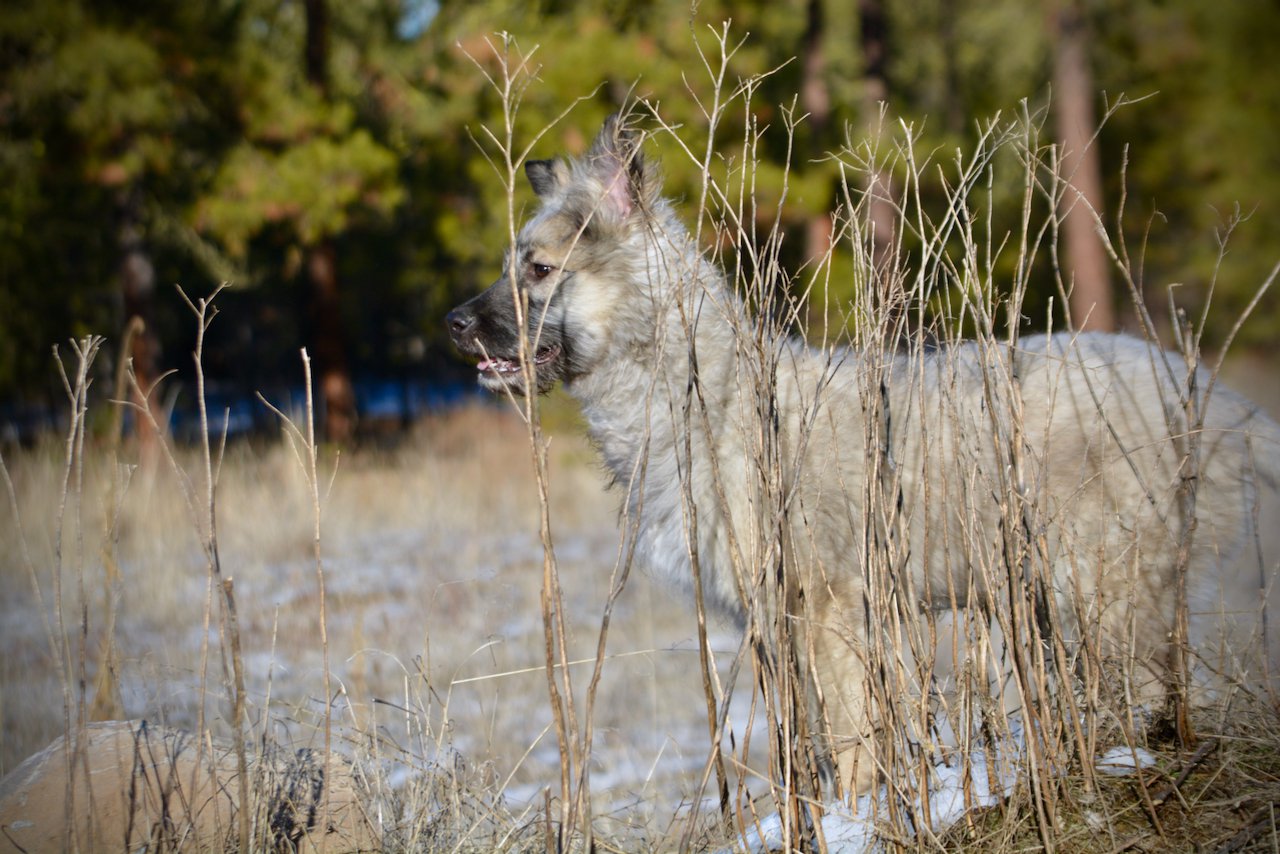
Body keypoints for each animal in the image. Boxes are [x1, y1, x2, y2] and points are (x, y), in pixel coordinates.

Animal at [450, 115, 1280, 804]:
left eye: (538, 270)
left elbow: (850, 739)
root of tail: (1217, 401)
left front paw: (854, 813)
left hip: (1105, 587)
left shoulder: (829, 611)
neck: (708, 396)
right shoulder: (779, 627)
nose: (456, 323)